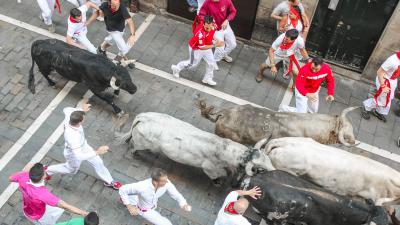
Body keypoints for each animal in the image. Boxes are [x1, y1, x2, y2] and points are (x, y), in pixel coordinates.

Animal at [115, 112, 272, 183]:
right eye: (259, 167)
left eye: (267, 158)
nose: (273, 170)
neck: (224, 149)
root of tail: (142, 117)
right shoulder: (209, 168)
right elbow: (218, 175)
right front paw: (219, 182)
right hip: (140, 143)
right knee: (134, 146)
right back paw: (135, 153)